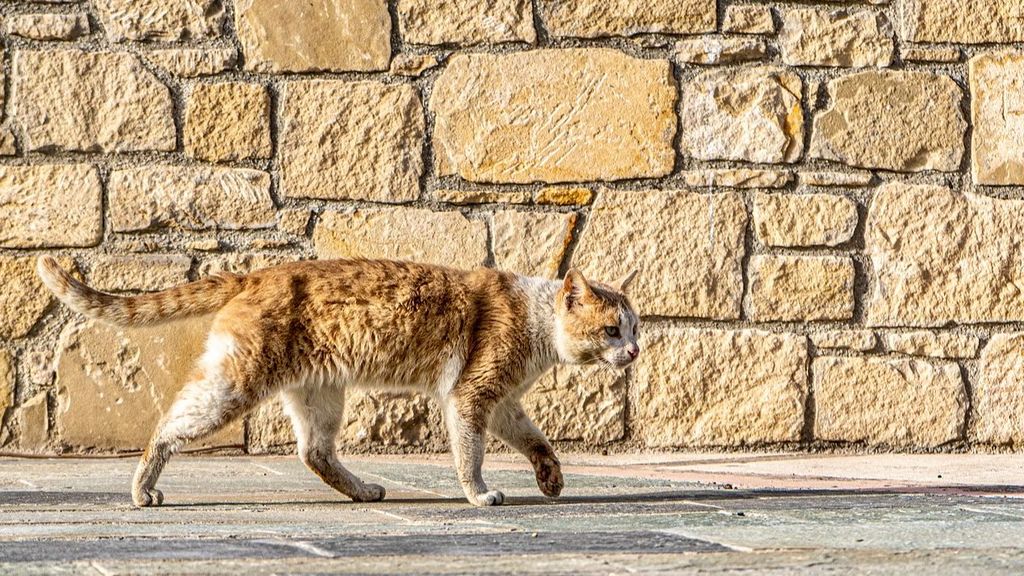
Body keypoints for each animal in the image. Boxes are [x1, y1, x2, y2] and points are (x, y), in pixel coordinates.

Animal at [39, 254, 638, 502]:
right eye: (612, 329)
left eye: (636, 328)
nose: (633, 351)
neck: (534, 318)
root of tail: (255, 274)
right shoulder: (472, 395)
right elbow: (470, 455)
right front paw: (479, 495)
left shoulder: (505, 403)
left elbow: (537, 441)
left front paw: (550, 479)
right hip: (232, 386)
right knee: (167, 426)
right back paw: (142, 489)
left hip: (320, 395)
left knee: (315, 453)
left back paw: (362, 491)